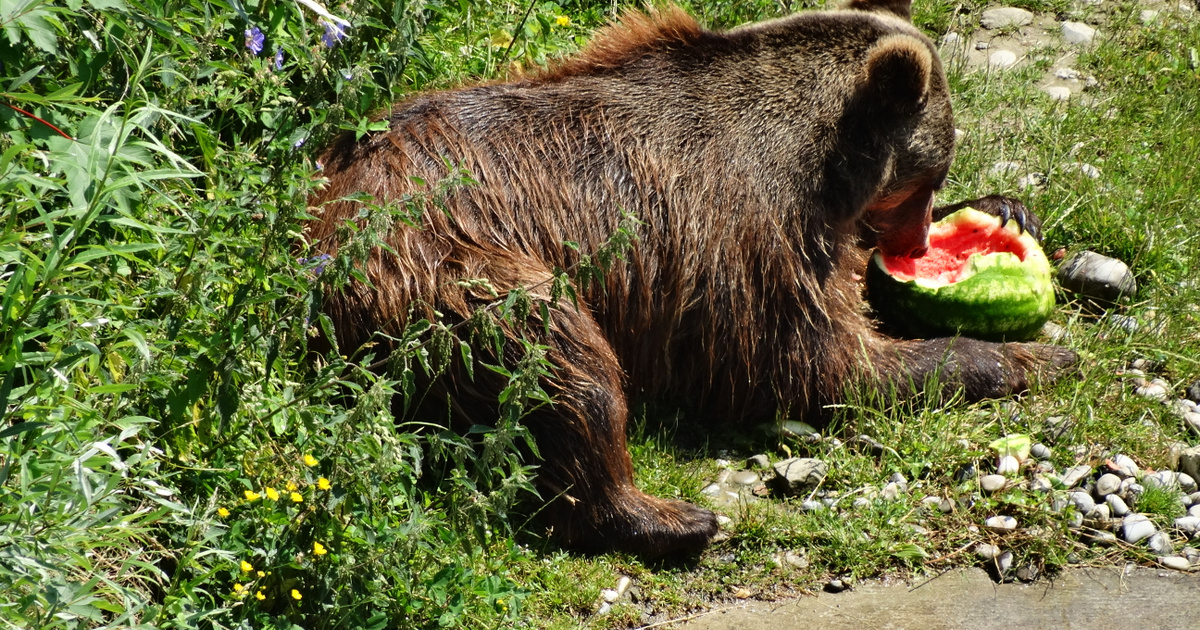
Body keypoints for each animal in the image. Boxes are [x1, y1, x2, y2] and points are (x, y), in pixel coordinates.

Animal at [304, 0, 1075, 554]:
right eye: (928, 170)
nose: (914, 241)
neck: (819, 156)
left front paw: (1008, 209)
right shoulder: (746, 235)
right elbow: (817, 363)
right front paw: (1032, 356)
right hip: (446, 269)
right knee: (559, 364)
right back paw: (669, 518)